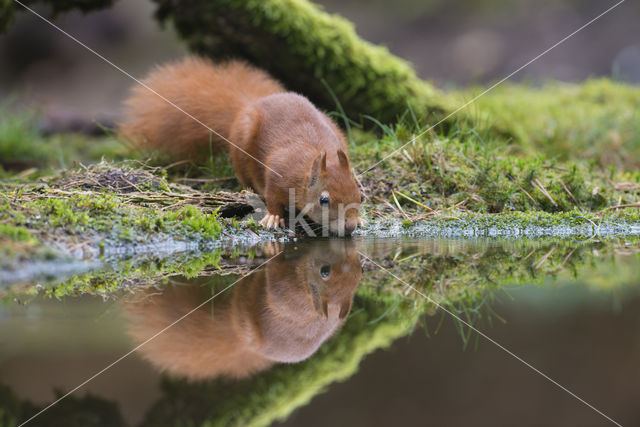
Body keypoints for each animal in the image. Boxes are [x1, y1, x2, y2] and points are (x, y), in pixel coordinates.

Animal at [118, 56, 362, 236]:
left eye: (360, 194)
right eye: (323, 200)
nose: (350, 226)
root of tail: (250, 104)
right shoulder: (278, 173)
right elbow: (273, 198)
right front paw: (274, 217)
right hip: (241, 147)